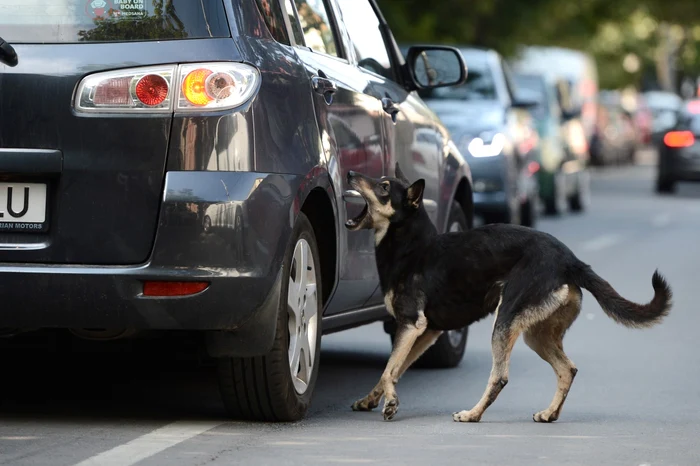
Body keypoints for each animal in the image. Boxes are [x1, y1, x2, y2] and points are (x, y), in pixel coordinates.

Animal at [344, 163, 672, 422]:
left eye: (384, 187)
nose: (349, 173)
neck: (411, 246)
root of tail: (569, 260)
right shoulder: (426, 332)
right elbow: (393, 369)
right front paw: (371, 400)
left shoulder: (412, 324)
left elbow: (389, 369)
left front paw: (390, 404)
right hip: (535, 334)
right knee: (568, 369)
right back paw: (549, 413)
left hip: (504, 321)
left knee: (500, 376)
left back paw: (473, 414)